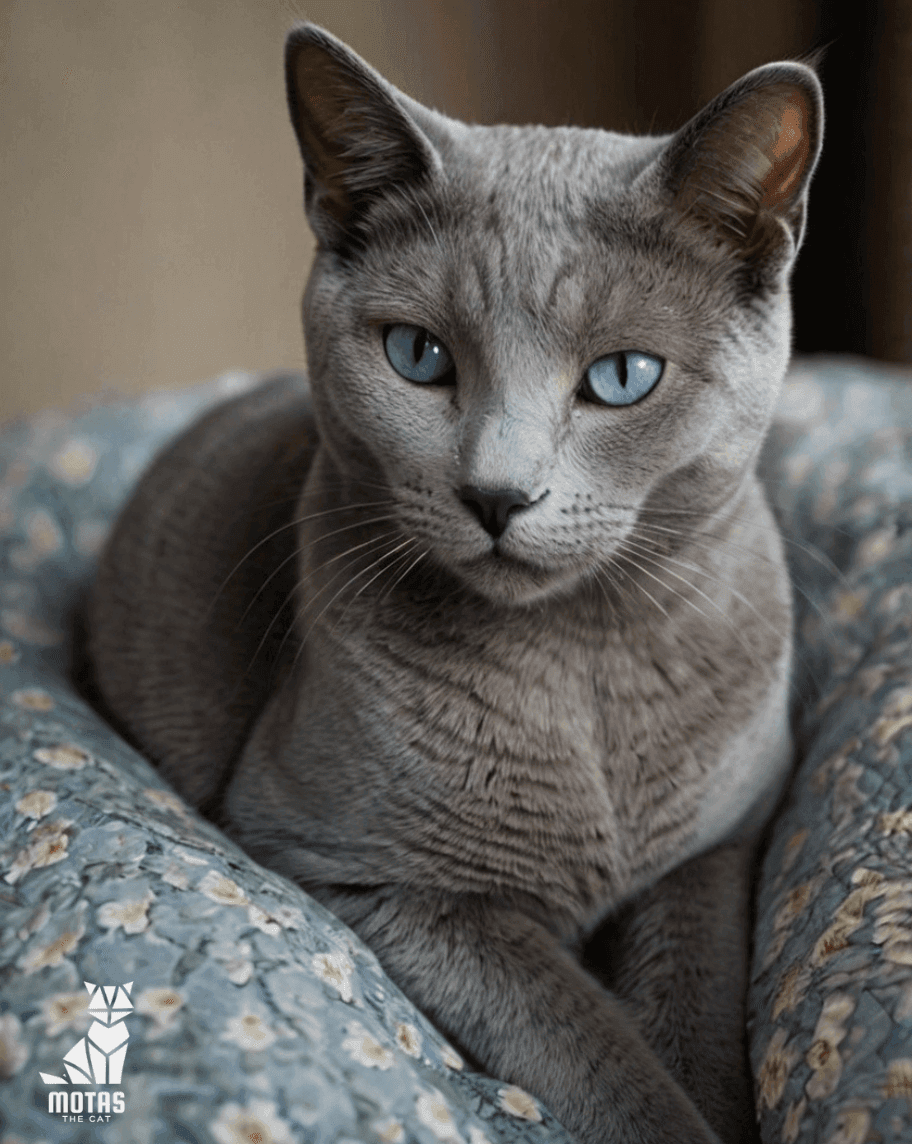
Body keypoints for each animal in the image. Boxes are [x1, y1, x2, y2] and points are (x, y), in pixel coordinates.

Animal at [88, 26, 823, 1144]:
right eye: (417, 354)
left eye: (623, 377)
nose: (496, 492)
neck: (580, 667)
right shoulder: (368, 872)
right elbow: (591, 1044)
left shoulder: (721, 844)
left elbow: (693, 1005)